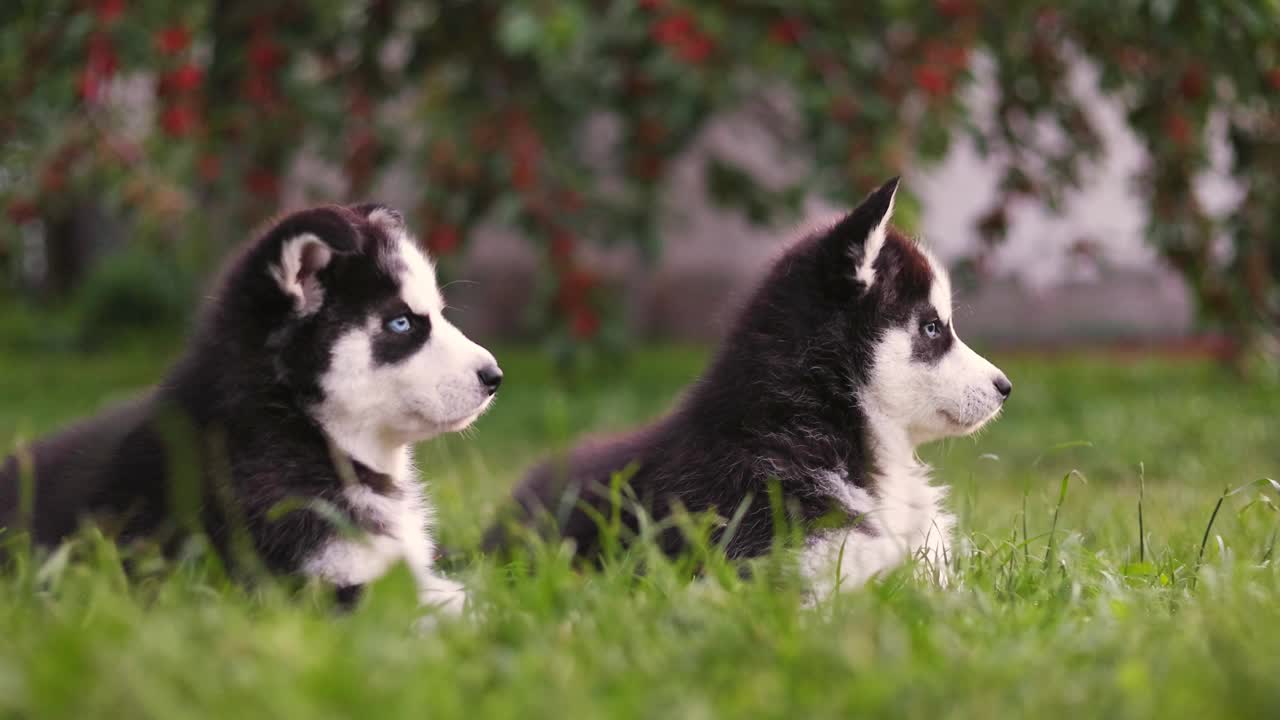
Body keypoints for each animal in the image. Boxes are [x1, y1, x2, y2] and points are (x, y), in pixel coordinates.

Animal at [0, 202, 499, 609]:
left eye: (437, 314)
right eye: (401, 324)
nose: (495, 377)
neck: (298, 426)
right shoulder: (303, 582)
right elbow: (451, 609)